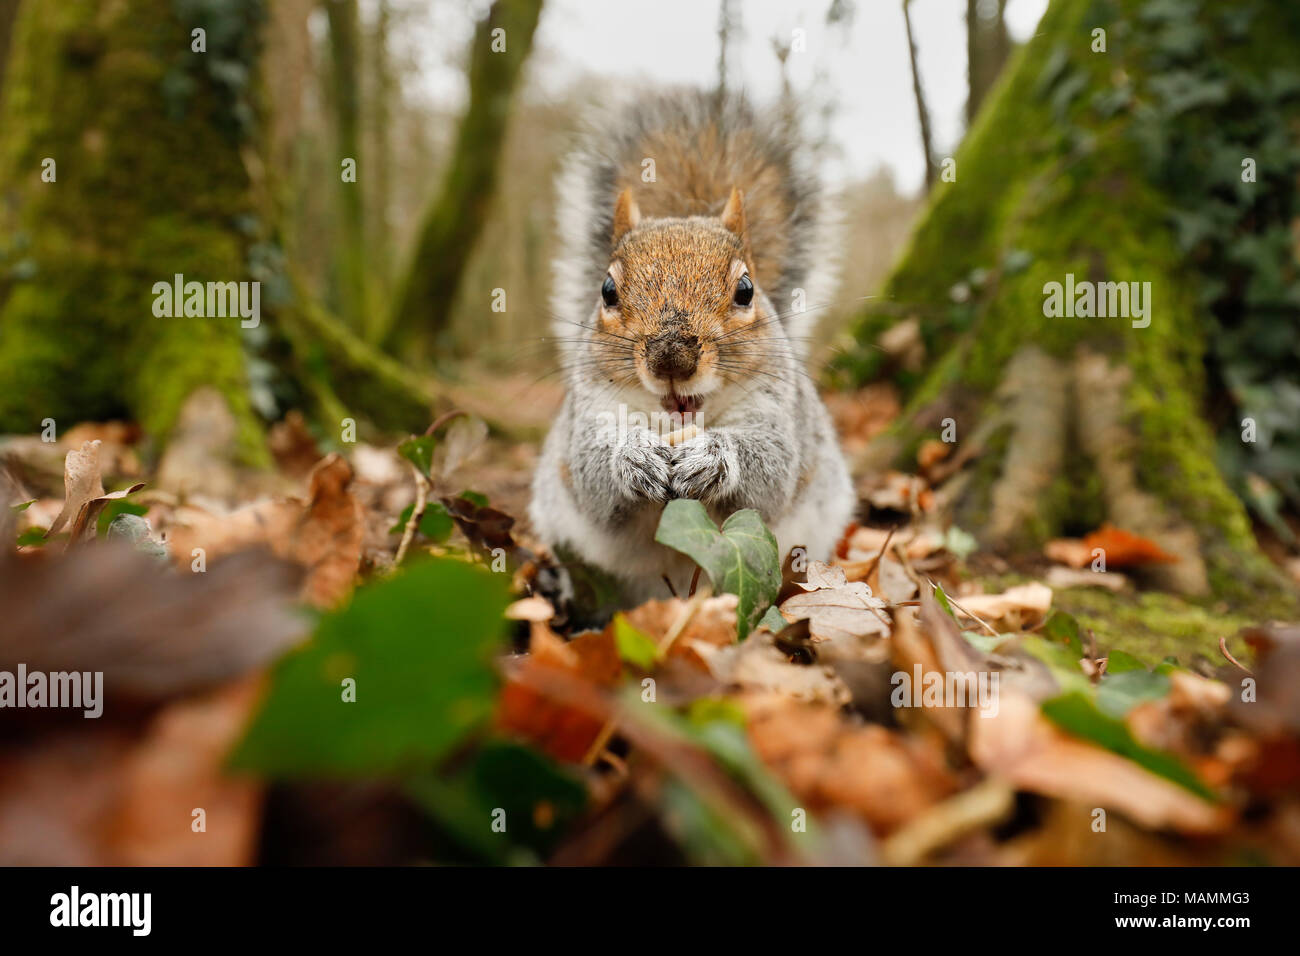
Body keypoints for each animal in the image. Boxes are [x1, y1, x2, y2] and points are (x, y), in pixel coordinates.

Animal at [525, 89, 852, 606]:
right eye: (607, 291)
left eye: (746, 290)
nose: (671, 357)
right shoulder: (590, 411)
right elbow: (592, 475)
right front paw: (633, 456)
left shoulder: (777, 411)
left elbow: (772, 469)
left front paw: (712, 458)